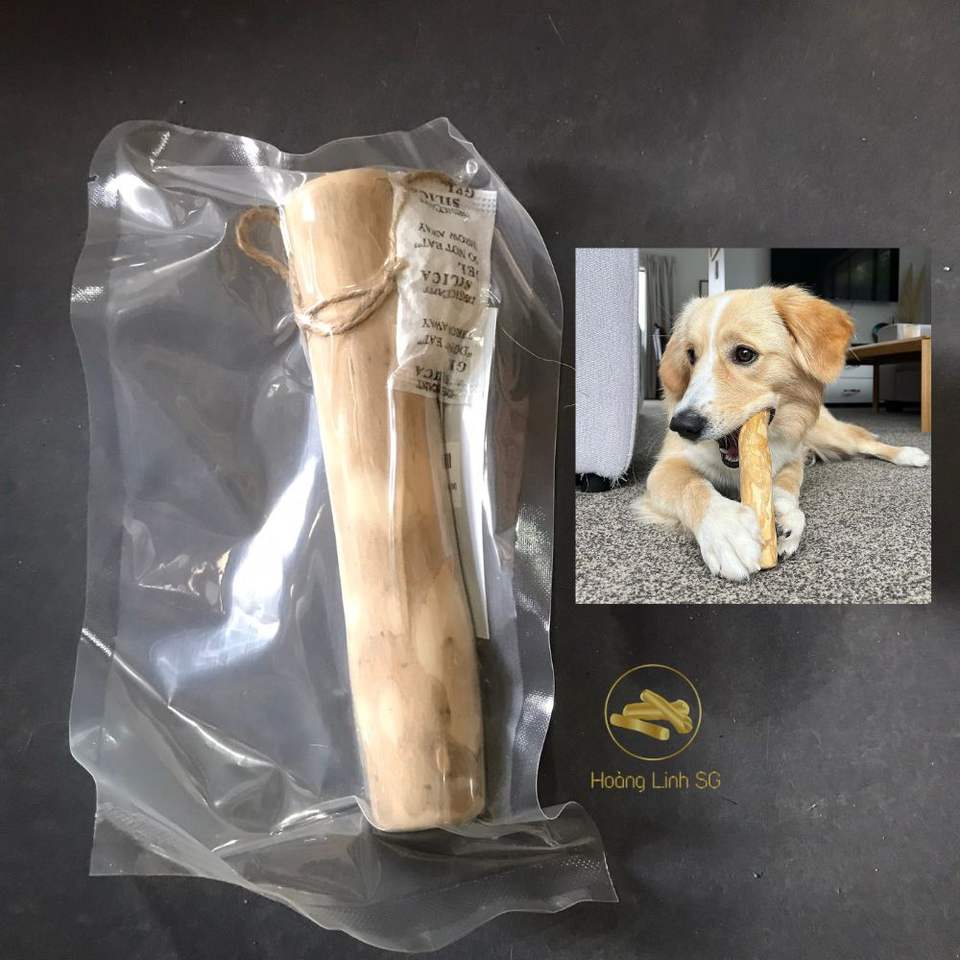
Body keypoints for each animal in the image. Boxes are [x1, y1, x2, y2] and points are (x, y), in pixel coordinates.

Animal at [637, 285, 929, 581]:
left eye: (744, 354)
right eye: (691, 355)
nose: (683, 426)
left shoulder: (791, 458)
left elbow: (787, 486)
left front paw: (785, 515)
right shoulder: (665, 467)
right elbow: (693, 486)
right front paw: (725, 528)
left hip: (832, 436)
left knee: (867, 442)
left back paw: (910, 454)